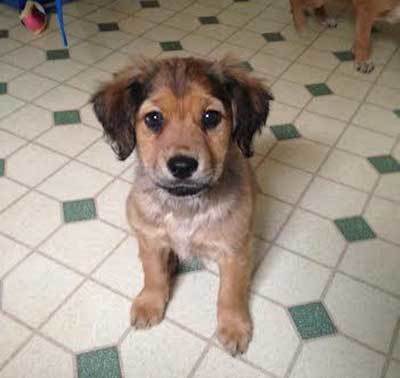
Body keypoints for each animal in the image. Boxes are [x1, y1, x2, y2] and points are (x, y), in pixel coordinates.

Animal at [91, 56, 272, 354]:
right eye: (153, 118)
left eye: (211, 117)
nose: (182, 166)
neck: (184, 206)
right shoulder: (151, 238)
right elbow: (153, 273)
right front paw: (150, 302)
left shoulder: (234, 251)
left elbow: (231, 292)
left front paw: (234, 326)